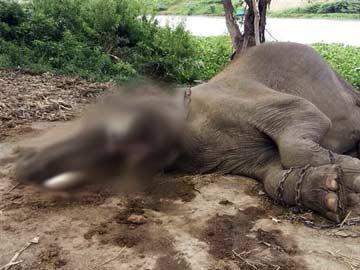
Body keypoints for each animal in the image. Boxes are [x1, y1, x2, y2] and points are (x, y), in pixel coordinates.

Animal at [15, 42, 360, 223]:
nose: (24, 168)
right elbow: (274, 176)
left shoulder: (244, 98)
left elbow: (302, 117)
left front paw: (350, 170)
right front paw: (336, 188)